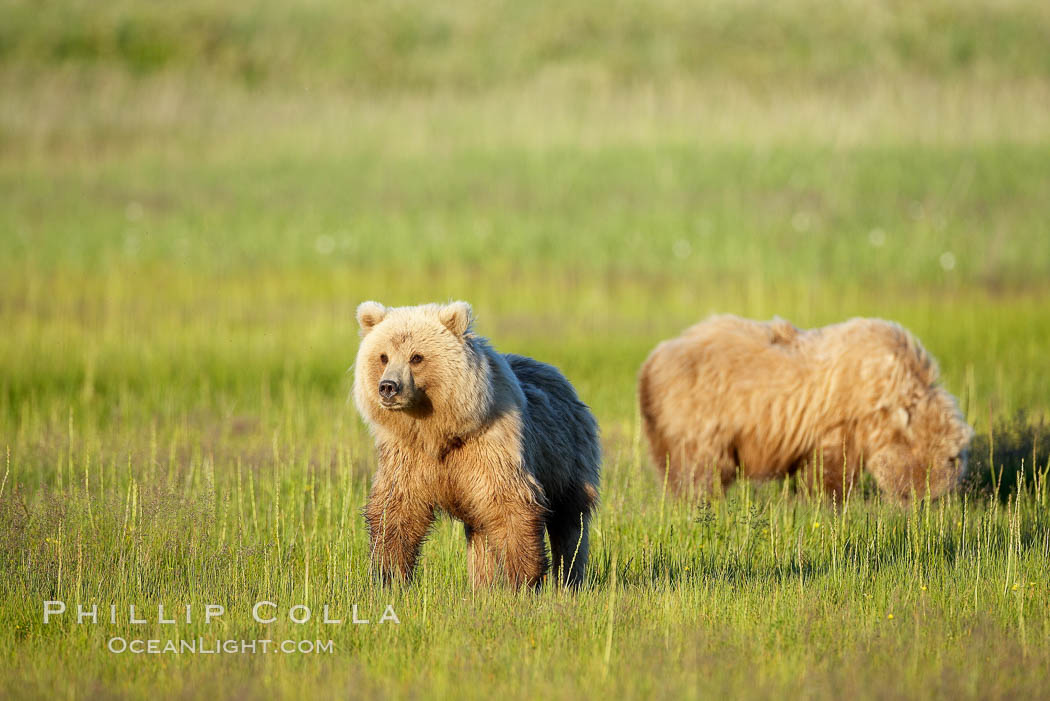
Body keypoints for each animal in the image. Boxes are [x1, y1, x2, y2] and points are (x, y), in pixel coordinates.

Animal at [352, 298, 600, 587]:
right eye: (383, 356)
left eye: (416, 357)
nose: (388, 387)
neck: (439, 432)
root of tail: (556, 374)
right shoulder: (407, 454)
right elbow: (397, 509)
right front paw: (389, 576)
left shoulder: (491, 445)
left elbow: (510, 504)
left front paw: (524, 579)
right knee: (480, 533)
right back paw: (482, 584)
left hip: (567, 457)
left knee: (570, 522)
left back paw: (570, 578)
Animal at [638, 314, 974, 501]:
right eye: (946, 459)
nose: (926, 501)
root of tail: (651, 360)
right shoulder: (838, 415)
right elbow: (831, 469)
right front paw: (829, 500)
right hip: (699, 409)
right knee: (699, 465)